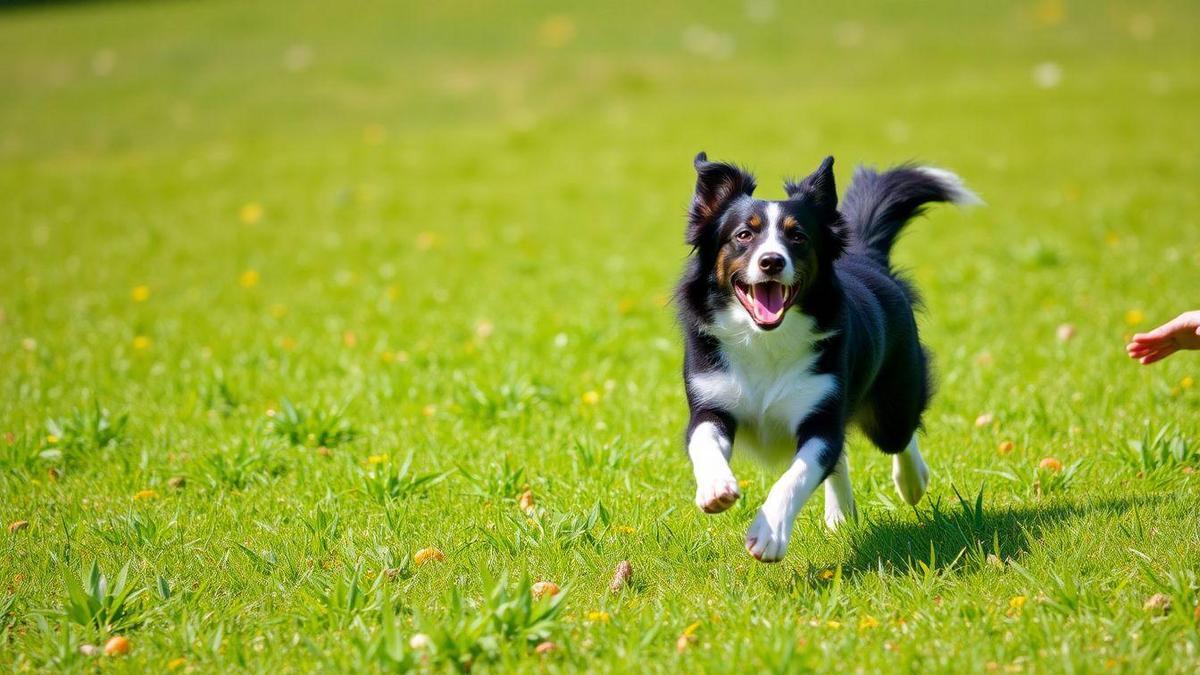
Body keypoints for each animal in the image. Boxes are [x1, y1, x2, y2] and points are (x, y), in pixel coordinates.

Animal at [676, 149, 974, 559]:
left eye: (797, 236)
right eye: (743, 235)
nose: (772, 261)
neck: (766, 339)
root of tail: (867, 257)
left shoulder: (820, 414)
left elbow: (799, 473)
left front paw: (769, 533)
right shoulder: (712, 400)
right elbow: (703, 440)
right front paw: (716, 488)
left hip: (893, 404)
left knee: (900, 434)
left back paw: (913, 483)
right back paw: (842, 514)